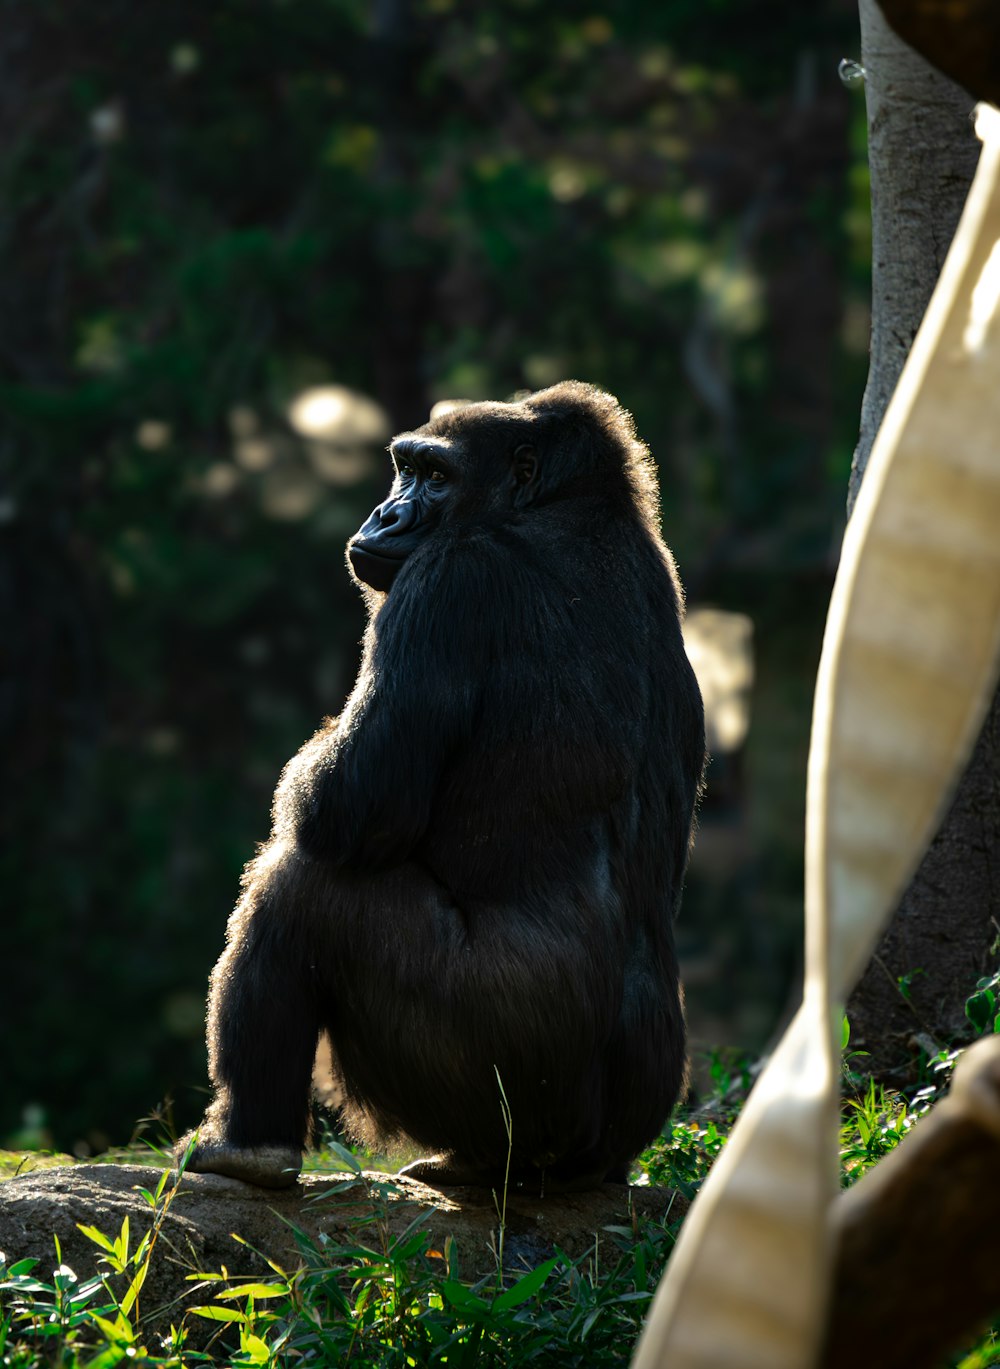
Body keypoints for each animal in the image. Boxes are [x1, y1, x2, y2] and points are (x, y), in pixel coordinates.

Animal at [183, 383, 706, 1188]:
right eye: (404, 468)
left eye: (434, 477)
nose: (385, 514)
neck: (559, 504)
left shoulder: (447, 579)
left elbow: (348, 807)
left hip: (506, 1074)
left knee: (307, 886)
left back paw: (250, 1146)